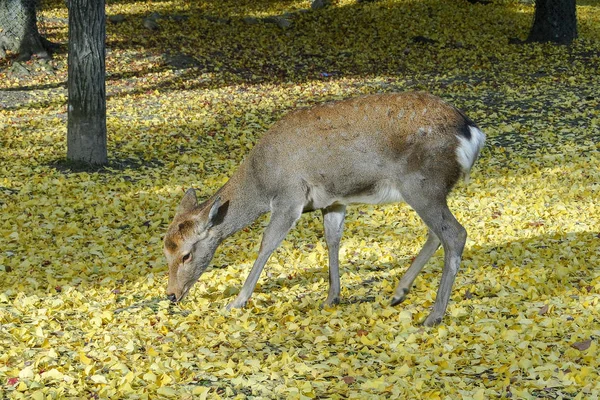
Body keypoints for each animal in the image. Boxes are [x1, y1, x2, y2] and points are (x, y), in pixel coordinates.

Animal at [162, 92, 486, 326]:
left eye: (186, 254)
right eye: (165, 252)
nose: (171, 295)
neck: (261, 182)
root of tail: (472, 132)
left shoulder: (289, 197)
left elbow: (267, 244)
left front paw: (237, 301)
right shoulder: (333, 201)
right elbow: (332, 240)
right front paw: (332, 297)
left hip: (423, 185)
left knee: (455, 233)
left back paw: (434, 315)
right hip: (429, 191)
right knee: (436, 234)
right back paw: (398, 293)